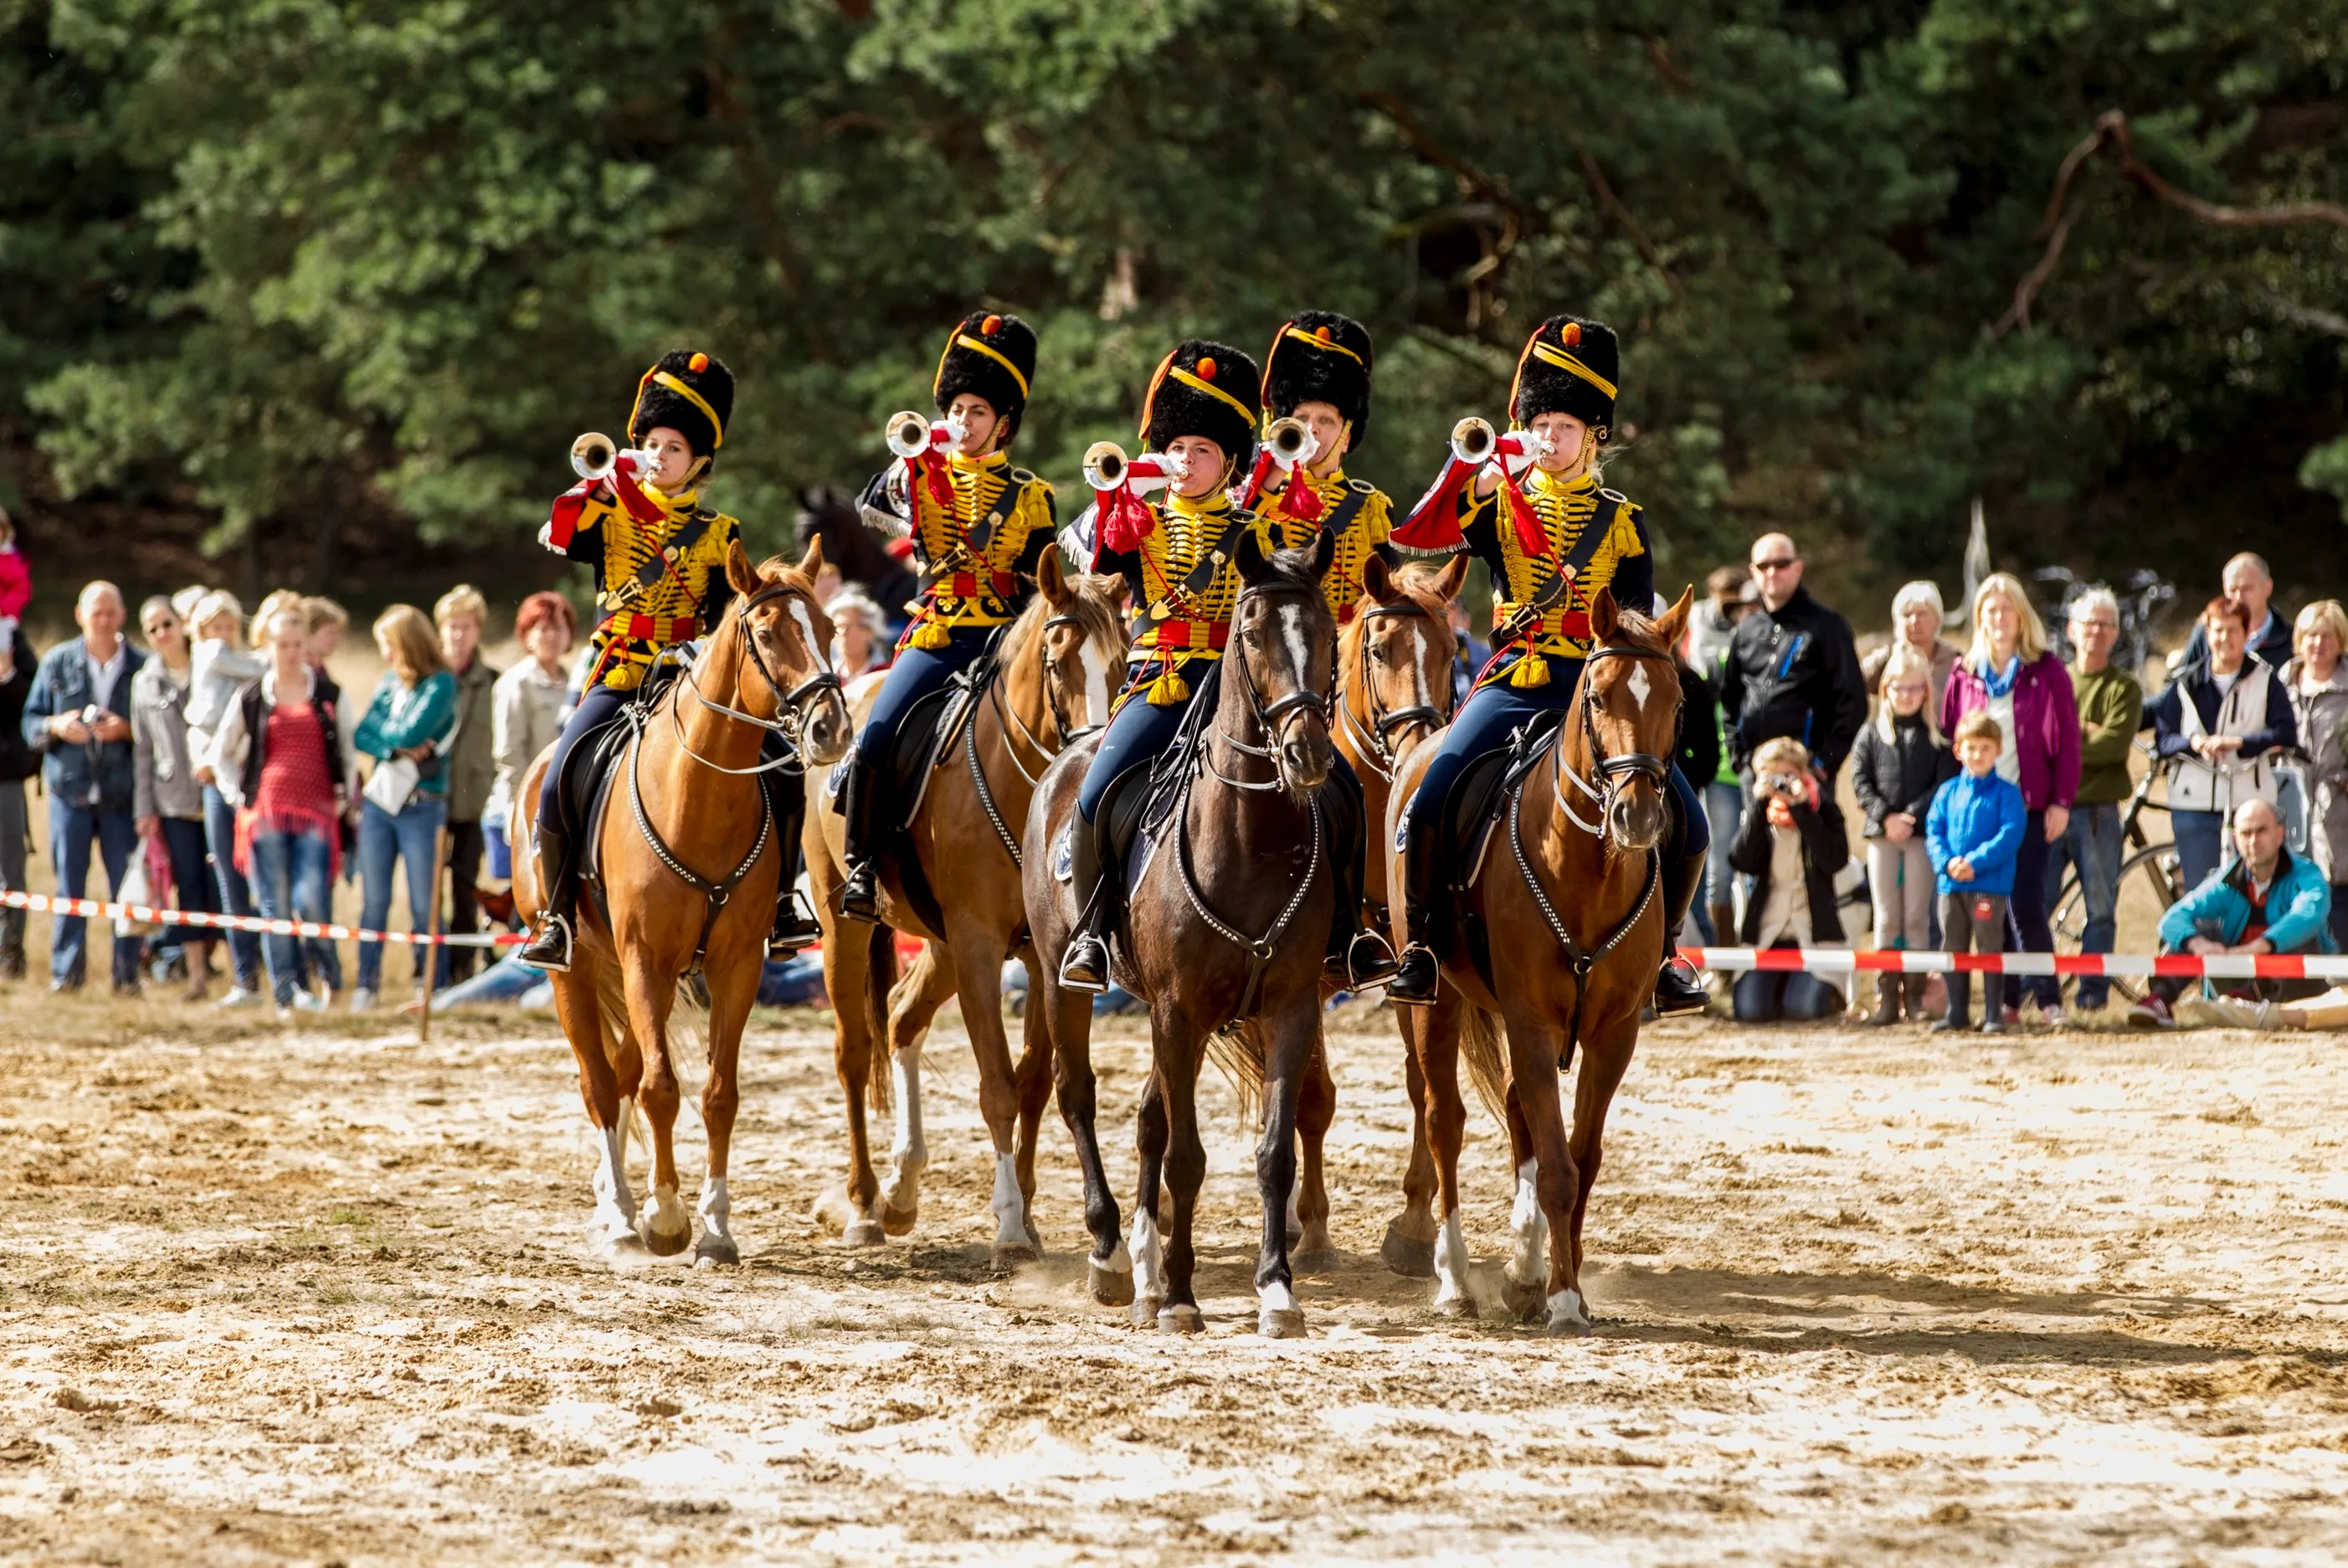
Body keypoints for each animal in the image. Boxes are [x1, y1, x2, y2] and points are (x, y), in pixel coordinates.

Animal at [509, 539, 859, 1257]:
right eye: (766, 633)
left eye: (828, 629)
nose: (831, 728)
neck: (698, 797)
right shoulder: (643, 959)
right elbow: (661, 1088)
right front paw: (666, 1216)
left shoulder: (735, 965)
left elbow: (718, 1093)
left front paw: (716, 1227)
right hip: (577, 969)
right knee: (600, 1081)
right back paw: (620, 1214)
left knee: (620, 1070)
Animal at [803, 551, 1132, 1257]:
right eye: (1057, 661)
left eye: (1122, 662)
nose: (1094, 748)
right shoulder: (980, 945)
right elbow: (999, 1086)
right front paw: (1008, 1222)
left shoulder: (1039, 957)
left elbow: (1033, 1083)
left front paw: (1028, 1213)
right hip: (846, 925)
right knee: (853, 1052)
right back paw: (865, 1204)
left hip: (940, 944)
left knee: (901, 1017)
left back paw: (901, 1191)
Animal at [1028, 530, 1343, 1333]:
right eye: (1253, 633)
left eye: (1327, 633)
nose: (1305, 755)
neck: (1249, 839)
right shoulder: (1177, 1010)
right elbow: (1187, 1157)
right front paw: (1179, 1294)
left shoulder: (1290, 1008)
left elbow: (1273, 1151)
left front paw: (1277, 1289)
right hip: (1059, 978)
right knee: (1077, 1094)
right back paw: (1112, 1254)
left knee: (1147, 1116)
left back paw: (1140, 1262)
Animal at [1371, 582, 1690, 1333]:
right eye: (1597, 696)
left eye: (1675, 701)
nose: (1637, 816)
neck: (1586, 871)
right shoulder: (1531, 1019)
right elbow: (1557, 1169)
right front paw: (1565, 1300)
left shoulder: (1613, 1033)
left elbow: (1579, 1159)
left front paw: (1555, 1281)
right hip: (1436, 1001)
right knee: (1444, 1122)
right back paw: (1454, 1279)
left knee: (1519, 1113)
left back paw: (1522, 1270)